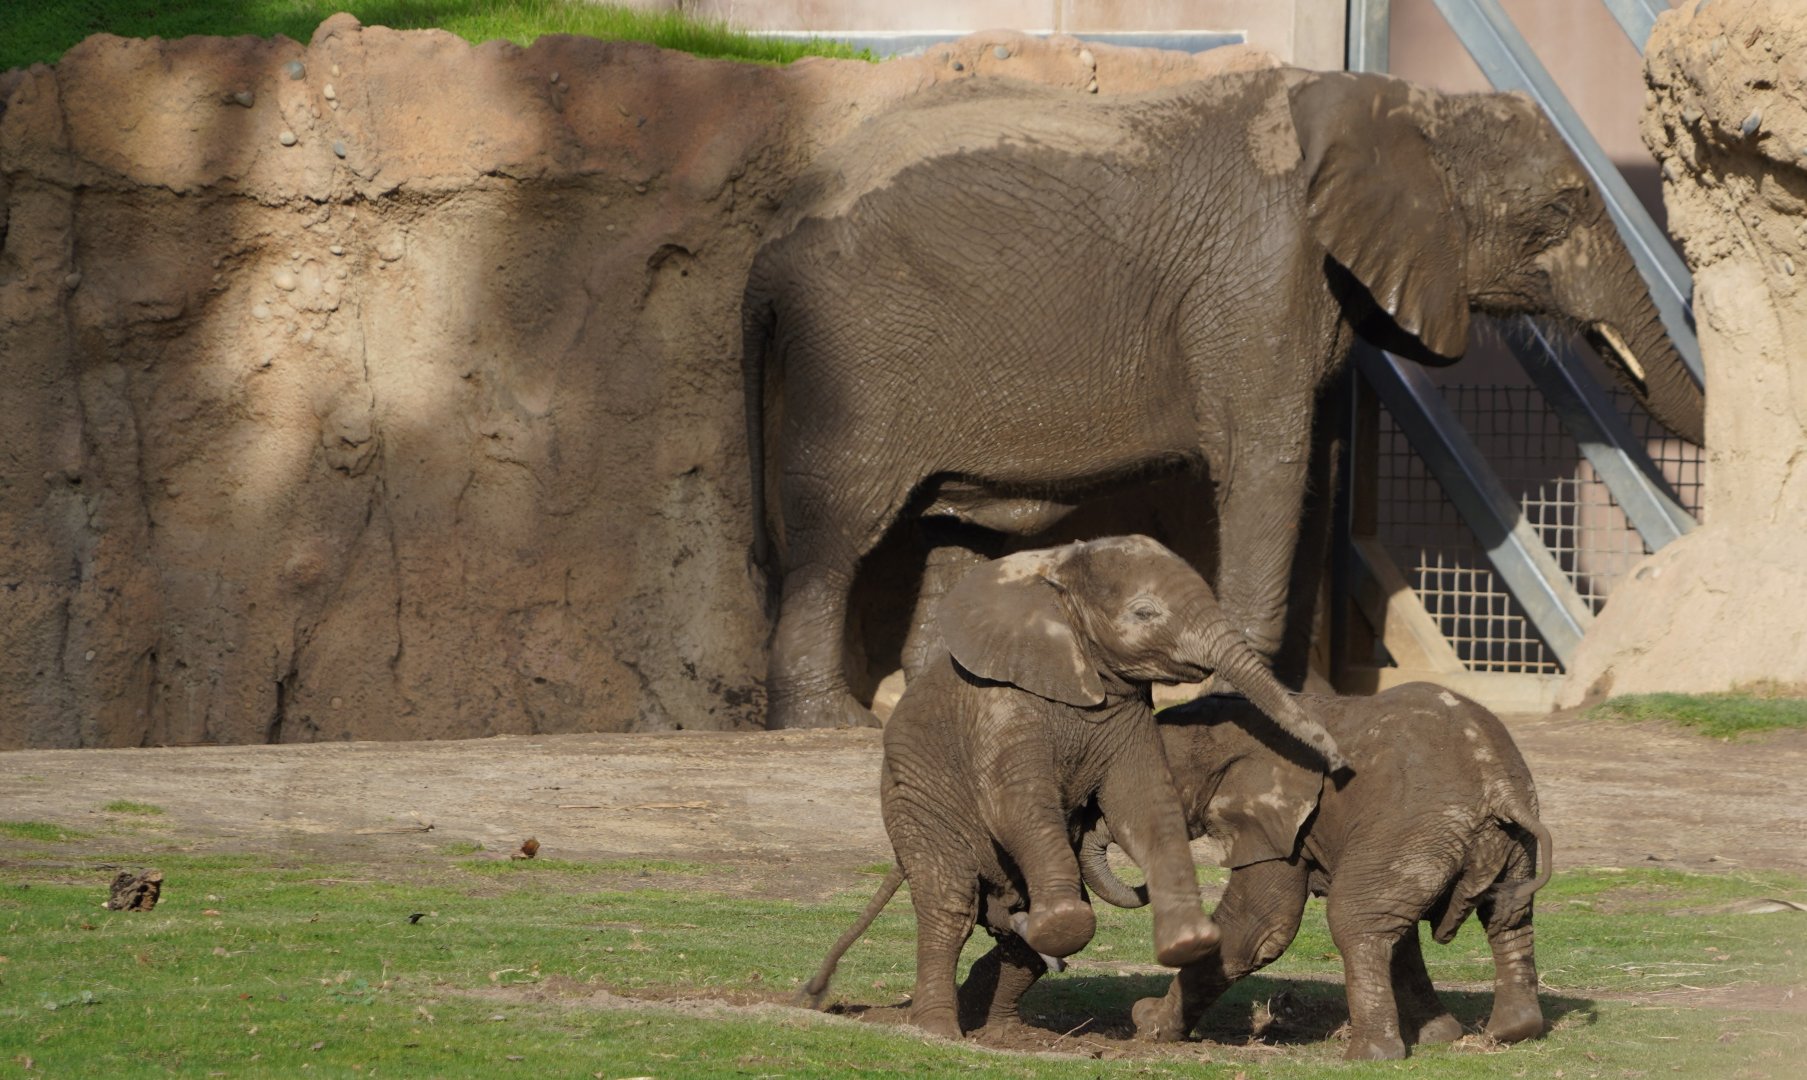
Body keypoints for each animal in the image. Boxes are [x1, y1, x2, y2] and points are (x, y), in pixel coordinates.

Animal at [741, 67, 1704, 732]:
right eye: (1556, 214)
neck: (1412, 106)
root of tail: (768, 242)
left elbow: (1314, 469)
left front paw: (1305, 699)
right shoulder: (1258, 273)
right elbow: (1267, 461)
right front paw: (1234, 698)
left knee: (959, 526)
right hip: (856, 350)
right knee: (837, 530)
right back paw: (830, 722)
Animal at [804, 535, 1342, 1039]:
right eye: (1144, 612)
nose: (1338, 761)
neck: (1052, 575)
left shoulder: (1129, 716)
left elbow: (1142, 806)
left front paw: (1190, 941)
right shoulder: (1000, 704)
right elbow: (1016, 803)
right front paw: (1065, 927)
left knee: (1015, 940)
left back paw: (1004, 1026)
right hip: (914, 801)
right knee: (949, 903)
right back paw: (938, 1027)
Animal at [958, 682, 1551, 1059]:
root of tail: (1498, 786)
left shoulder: (1279, 821)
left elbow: (1259, 925)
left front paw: (1148, 1024)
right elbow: (1398, 939)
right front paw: (1441, 1037)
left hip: (1417, 824)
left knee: (1355, 920)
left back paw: (1368, 1055)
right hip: (1494, 842)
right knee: (1506, 918)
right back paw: (1513, 1032)